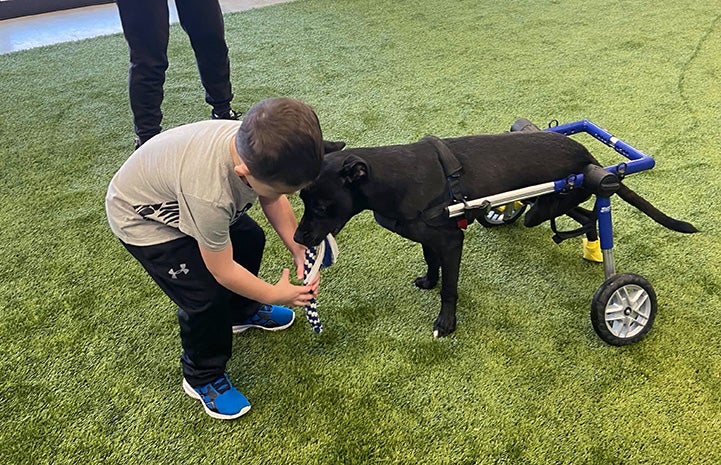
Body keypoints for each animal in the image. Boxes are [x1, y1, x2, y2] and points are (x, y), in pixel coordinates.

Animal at [294, 130, 696, 338]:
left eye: (323, 206)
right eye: (301, 198)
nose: (297, 239)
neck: (393, 178)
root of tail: (592, 161)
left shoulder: (451, 240)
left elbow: (451, 289)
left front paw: (446, 323)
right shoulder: (430, 237)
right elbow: (430, 262)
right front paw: (429, 280)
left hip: (550, 203)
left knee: (586, 210)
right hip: (552, 202)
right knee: (586, 213)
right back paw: (592, 242)